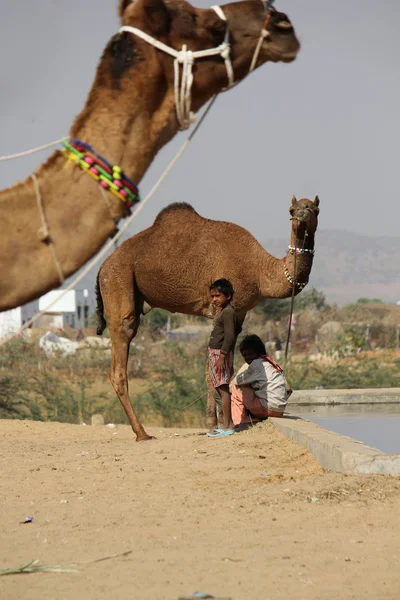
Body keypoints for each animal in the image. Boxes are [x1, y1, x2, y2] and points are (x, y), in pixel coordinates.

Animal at [96, 195, 318, 438]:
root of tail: (102, 267)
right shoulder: (221, 307)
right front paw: (217, 423)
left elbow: (224, 364)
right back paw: (142, 433)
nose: (301, 214)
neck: (259, 270)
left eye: (314, 208)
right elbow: (216, 365)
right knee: (121, 350)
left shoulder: (239, 312)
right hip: (118, 279)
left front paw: (215, 421)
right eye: (291, 210)